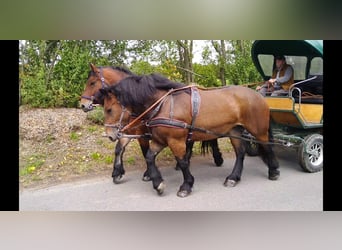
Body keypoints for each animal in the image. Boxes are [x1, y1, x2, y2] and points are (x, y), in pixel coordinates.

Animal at [80, 63, 224, 183]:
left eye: (92, 83)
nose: (82, 104)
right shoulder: (127, 132)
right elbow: (119, 149)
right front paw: (117, 172)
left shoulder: (142, 135)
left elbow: (145, 153)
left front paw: (148, 174)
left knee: (212, 138)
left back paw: (217, 158)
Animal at [99, 73, 280, 198]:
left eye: (109, 109)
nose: (110, 135)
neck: (163, 104)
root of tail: (258, 95)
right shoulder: (160, 139)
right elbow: (150, 157)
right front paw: (158, 183)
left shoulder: (176, 140)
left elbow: (183, 161)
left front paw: (186, 186)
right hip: (234, 131)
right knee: (240, 153)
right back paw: (233, 178)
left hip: (258, 130)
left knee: (267, 147)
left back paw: (273, 171)